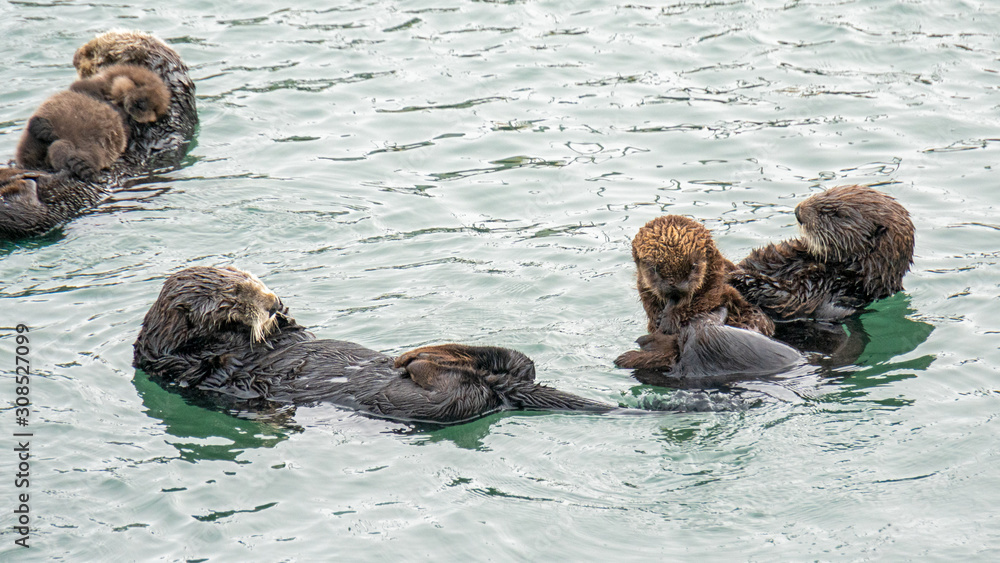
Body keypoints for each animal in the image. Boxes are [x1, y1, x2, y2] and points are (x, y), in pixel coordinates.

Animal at [133, 266, 616, 425]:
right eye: (235, 297)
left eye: (251, 278)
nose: (270, 300)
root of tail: (501, 389)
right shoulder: (184, 366)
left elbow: (293, 334)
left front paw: (283, 316)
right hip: (432, 404)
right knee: (462, 387)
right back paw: (418, 359)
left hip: (493, 380)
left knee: (520, 363)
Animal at [731, 185, 915, 321]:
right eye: (826, 192)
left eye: (838, 214)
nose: (798, 211)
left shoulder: (825, 290)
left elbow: (788, 298)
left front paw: (742, 278)